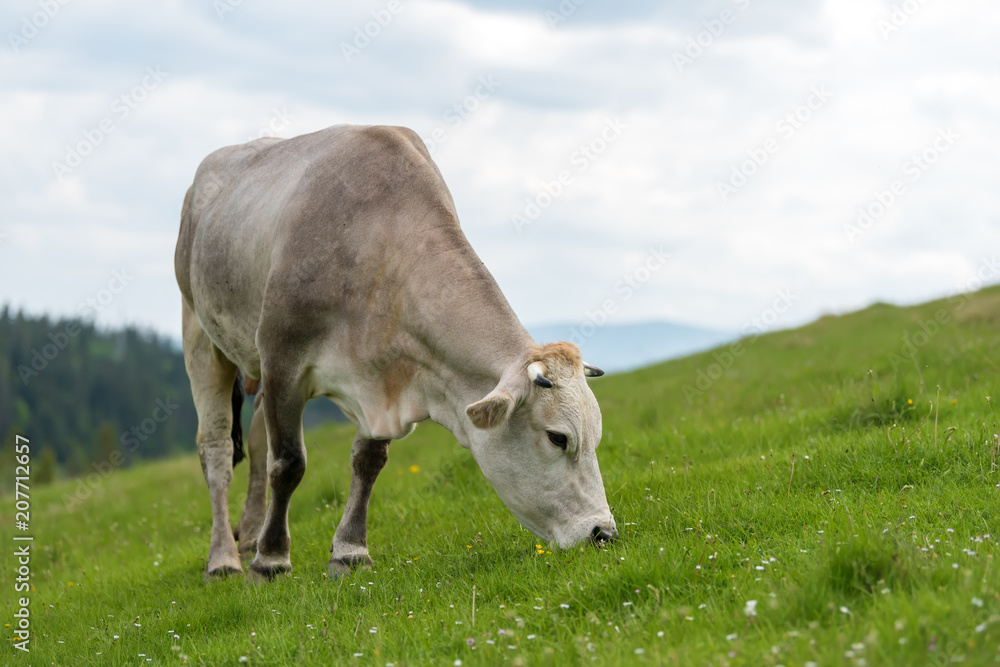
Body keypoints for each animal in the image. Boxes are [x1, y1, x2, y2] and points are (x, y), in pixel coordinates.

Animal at [172, 124, 616, 580]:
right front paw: (272, 560)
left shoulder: (384, 376)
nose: (603, 532)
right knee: (217, 450)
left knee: (258, 439)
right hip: (200, 335)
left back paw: (250, 533)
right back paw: (224, 558)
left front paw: (349, 552)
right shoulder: (283, 362)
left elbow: (367, 460)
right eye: (558, 438)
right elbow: (289, 463)